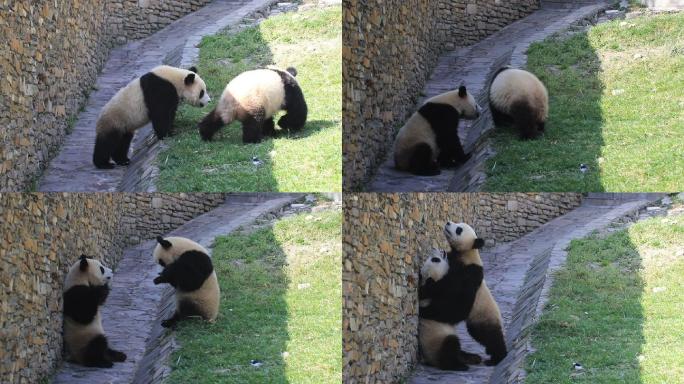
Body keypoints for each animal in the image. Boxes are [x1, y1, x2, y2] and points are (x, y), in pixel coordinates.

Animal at [416, 222, 508, 366]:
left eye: (459, 229)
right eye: (457, 223)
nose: (448, 222)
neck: (465, 254)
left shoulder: (470, 274)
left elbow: (456, 302)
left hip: (484, 314)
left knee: (490, 336)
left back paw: (497, 357)